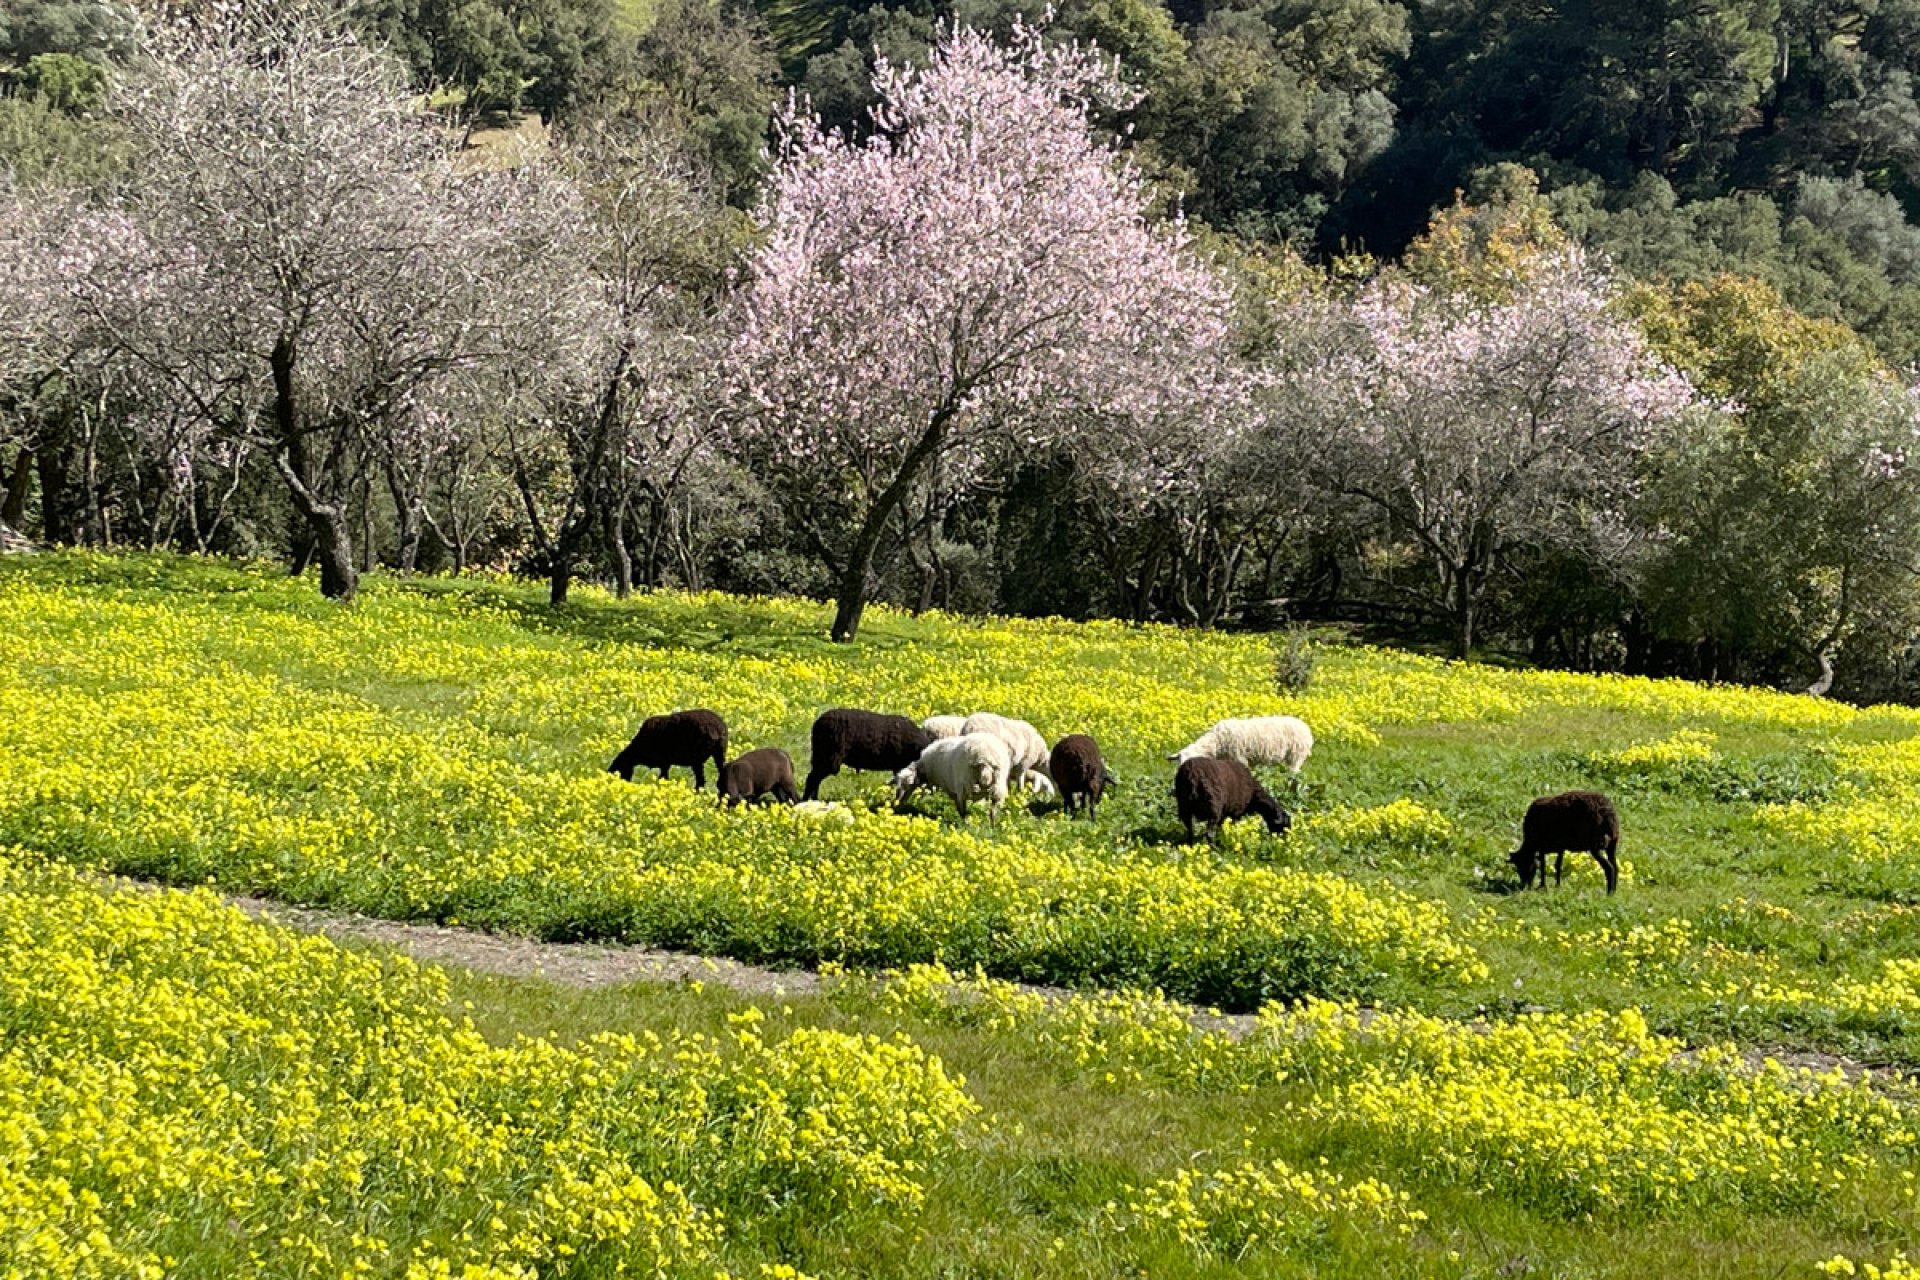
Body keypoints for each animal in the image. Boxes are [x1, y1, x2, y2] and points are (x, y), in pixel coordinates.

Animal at [802, 710, 936, 802]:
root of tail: (818, 723)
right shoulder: (900, 766)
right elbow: (901, 788)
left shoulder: (899, 767)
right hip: (829, 758)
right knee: (812, 779)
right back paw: (805, 802)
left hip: (820, 756)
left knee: (815, 780)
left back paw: (814, 800)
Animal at [1159, 717, 1313, 775]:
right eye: (1179, 760)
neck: (1216, 741)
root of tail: (1306, 727)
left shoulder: (1239, 758)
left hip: (1296, 755)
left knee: (1294, 772)